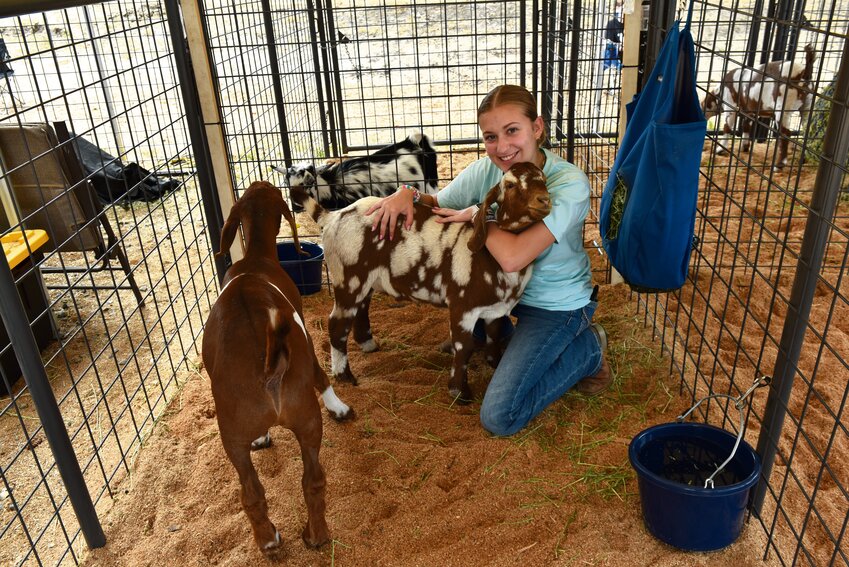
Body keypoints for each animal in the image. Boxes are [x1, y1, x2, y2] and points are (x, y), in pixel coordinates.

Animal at [202, 183, 354, 560]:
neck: (256, 258)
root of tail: (269, 371)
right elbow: (321, 375)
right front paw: (339, 407)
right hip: (301, 421)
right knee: (308, 481)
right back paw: (304, 537)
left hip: (236, 437)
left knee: (255, 492)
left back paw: (275, 540)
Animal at [278, 131, 438, 211]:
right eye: (287, 183)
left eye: (310, 181)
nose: (295, 204)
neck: (330, 186)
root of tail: (413, 142)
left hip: (430, 185)